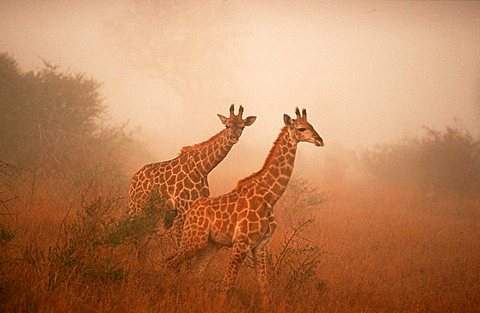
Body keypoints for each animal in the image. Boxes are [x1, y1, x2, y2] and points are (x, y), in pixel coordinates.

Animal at [126, 103, 255, 240]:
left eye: (242, 127)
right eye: (227, 125)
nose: (234, 138)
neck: (202, 170)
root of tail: (133, 179)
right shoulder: (182, 209)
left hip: (152, 211)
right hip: (137, 207)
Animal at [167, 107, 324, 302]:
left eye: (312, 125)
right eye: (301, 128)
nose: (320, 140)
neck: (270, 196)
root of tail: (193, 208)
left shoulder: (261, 245)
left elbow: (264, 288)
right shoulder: (241, 243)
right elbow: (226, 286)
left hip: (210, 245)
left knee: (195, 273)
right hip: (194, 239)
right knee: (171, 263)